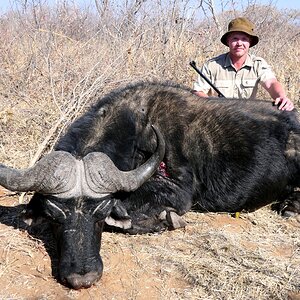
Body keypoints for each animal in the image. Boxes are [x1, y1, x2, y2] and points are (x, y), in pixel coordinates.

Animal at [0, 81, 300, 290]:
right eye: (54, 217)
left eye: (99, 214)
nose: (82, 278)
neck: (139, 129)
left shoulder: (176, 193)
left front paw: (164, 220)